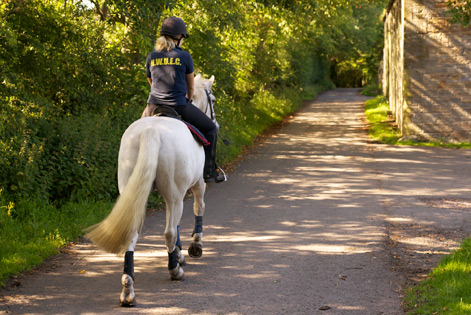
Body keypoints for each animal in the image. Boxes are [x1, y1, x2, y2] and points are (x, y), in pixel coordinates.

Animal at [85, 74, 221, 306]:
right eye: (212, 99)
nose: (216, 123)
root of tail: (152, 131)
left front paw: (179, 254)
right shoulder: (197, 184)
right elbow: (197, 209)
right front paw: (194, 246)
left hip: (133, 189)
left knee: (132, 233)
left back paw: (128, 289)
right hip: (176, 194)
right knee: (168, 231)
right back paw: (174, 271)